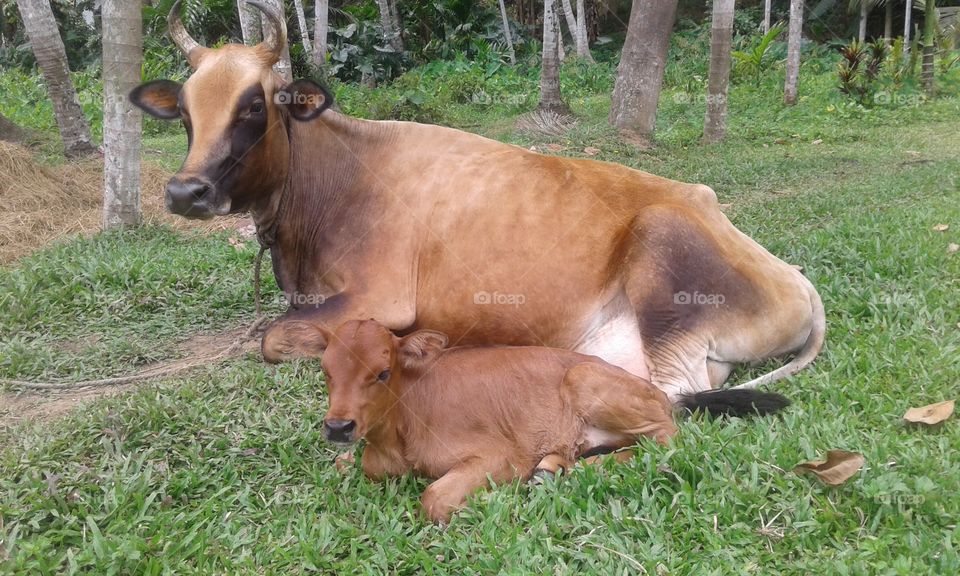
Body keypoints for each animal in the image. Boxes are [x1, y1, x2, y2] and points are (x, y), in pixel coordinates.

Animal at [129, 1, 826, 403]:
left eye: (254, 106)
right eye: (185, 112)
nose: (186, 191)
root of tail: (795, 278)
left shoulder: (380, 296)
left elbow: (275, 337)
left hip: (666, 263)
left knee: (675, 392)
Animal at [313, 319, 789, 523]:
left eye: (382, 372)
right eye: (326, 370)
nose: (338, 427)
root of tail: (661, 392)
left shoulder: (499, 455)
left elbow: (433, 499)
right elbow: (347, 464)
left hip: (588, 382)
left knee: (667, 437)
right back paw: (553, 469)